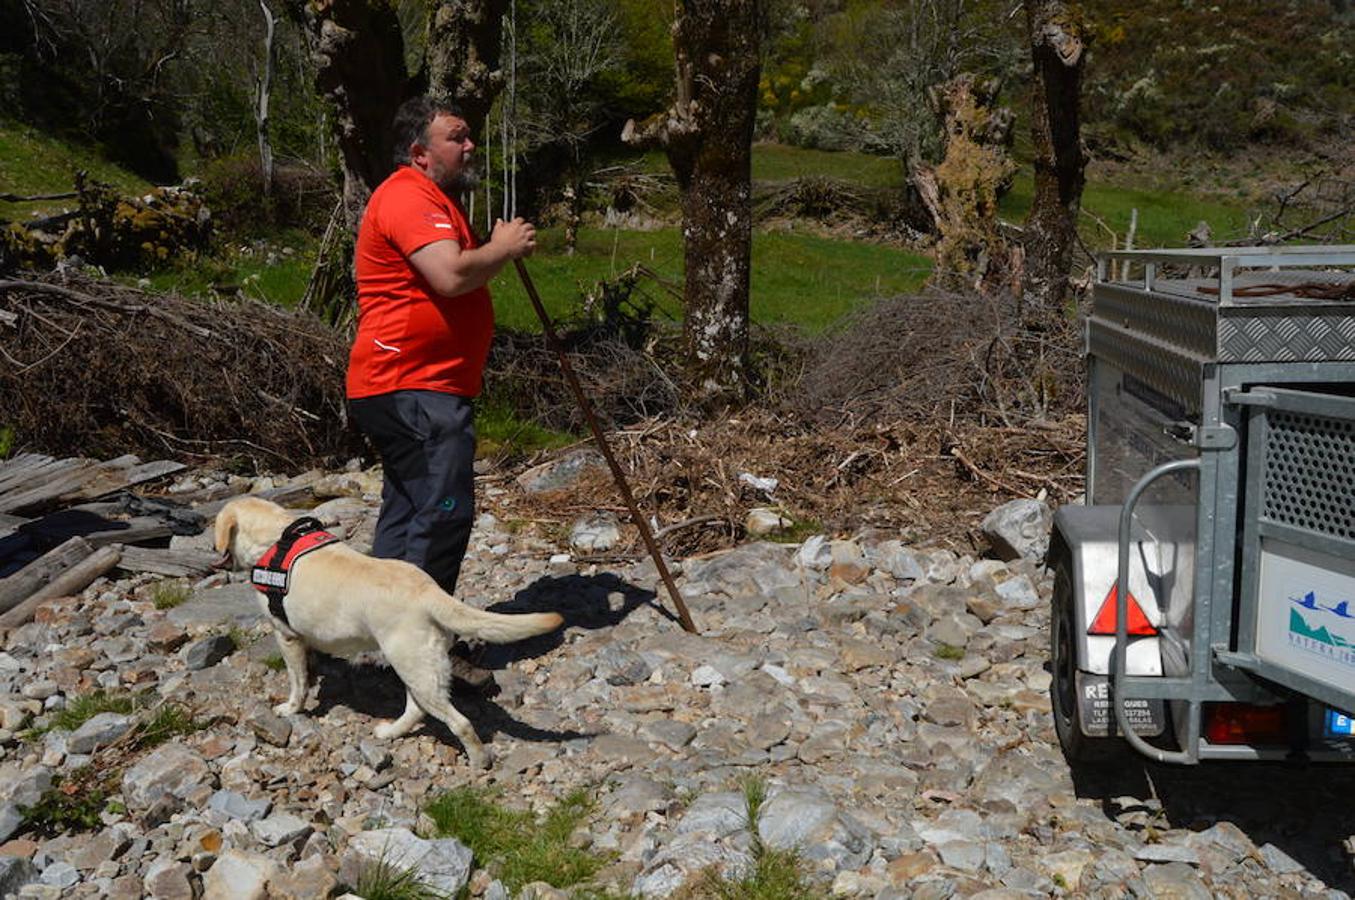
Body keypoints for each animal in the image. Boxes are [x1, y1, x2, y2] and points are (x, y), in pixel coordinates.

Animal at [212, 496, 560, 769]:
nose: (213, 551)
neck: (274, 539)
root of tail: (429, 591)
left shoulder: (286, 636)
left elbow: (298, 682)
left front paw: (291, 708)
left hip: (412, 664)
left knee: (459, 722)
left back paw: (478, 762)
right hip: (418, 667)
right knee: (417, 709)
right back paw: (391, 732)